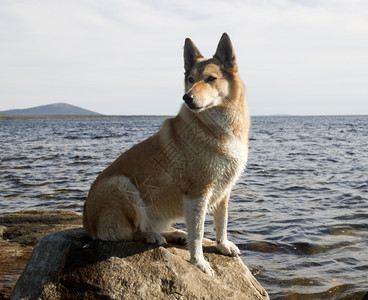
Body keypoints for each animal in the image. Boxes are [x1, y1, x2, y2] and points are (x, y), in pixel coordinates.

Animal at [83, 32, 250, 274]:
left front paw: (223, 245)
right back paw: (151, 236)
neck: (215, 125)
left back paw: (175, 234)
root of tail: (86, 223)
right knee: (128, 232)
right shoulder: (197, 194)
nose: (187, 98)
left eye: (211, 79)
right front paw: (199, 262)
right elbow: (198, 232)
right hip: (122, 186)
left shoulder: (224, 190)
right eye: (190, 79)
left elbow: (222, 221)